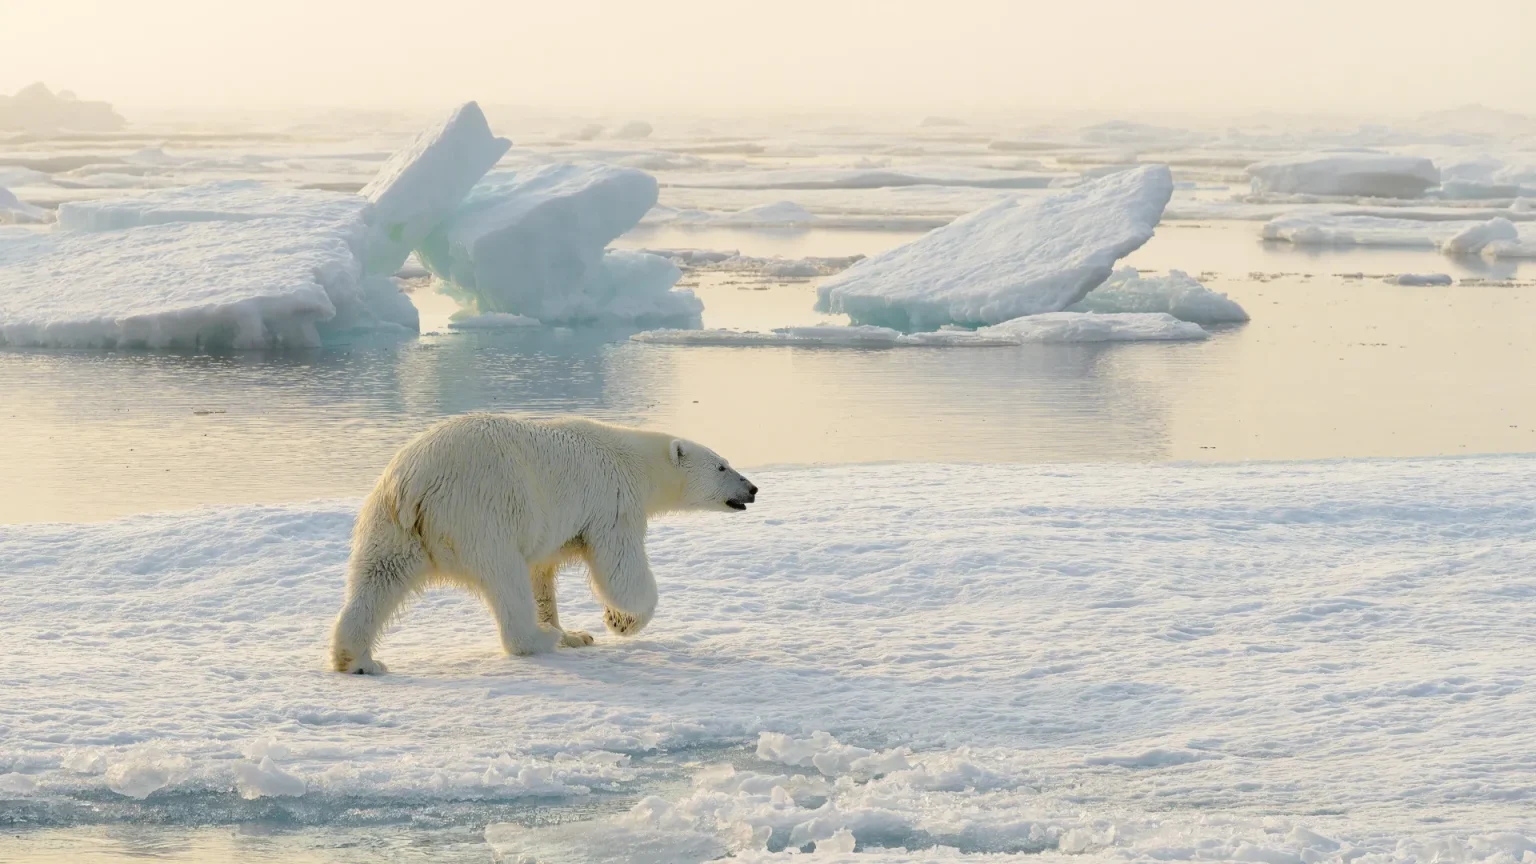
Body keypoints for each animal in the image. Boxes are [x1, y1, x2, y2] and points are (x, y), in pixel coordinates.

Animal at [329, 414, 757, 674]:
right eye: (722, 466)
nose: (752, 488)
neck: (636, 462)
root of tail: (417, 482)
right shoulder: (612, 502)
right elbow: (620, 568)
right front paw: (620, 620)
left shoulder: (555, 527)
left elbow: (542, 573)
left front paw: (575, 633)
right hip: (483, 512)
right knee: (506, 578)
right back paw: (536, 639)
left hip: (392, 525)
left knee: (377, 579)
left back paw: (360, 660)